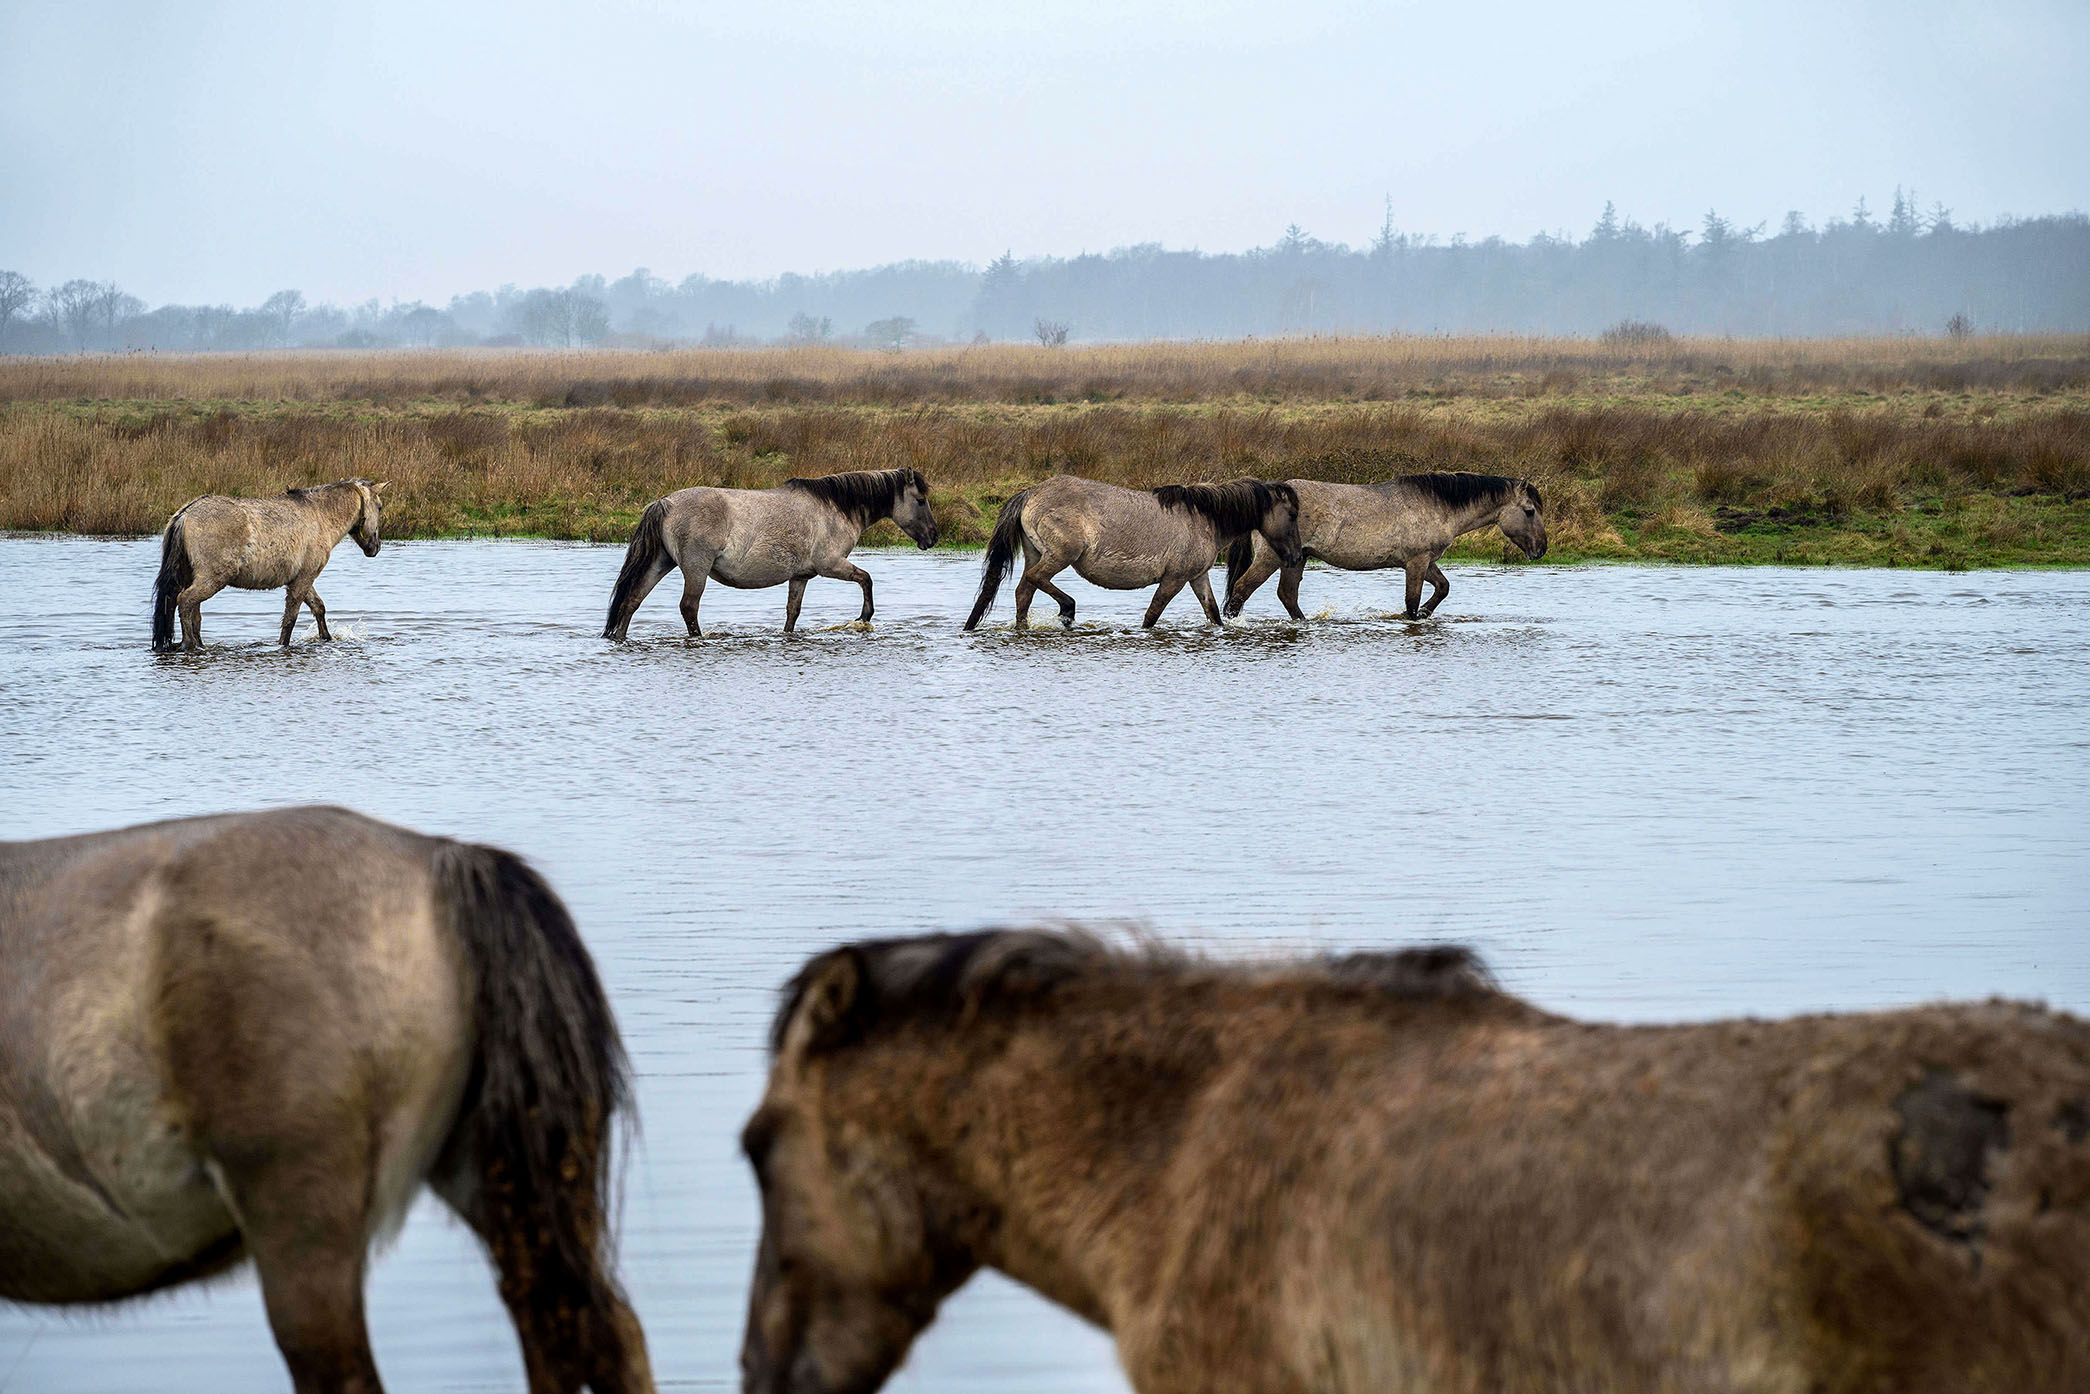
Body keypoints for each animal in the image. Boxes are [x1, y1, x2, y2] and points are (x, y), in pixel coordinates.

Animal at [151, 477, 387, 653]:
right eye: (380, 507)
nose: (375, 548)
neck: (320, 515)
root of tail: (186, 514)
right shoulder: (303, 579)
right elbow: (290, 619)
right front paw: (282, 646)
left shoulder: (302, 578)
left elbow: (319, 608)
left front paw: (327, 639)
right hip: (211, 580)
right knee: (185, 602)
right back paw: (188, 645)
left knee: (193, 612)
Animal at [602, 468, 938, 640]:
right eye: (920, 500)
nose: (933, 537)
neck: (835, 507)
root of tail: (665, 502)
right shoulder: (830, 565)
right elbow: (866, 578)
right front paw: (865, 617)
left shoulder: (801, 576)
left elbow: (792, 612)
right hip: (695, 569)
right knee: (688, 607)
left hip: (661, 563)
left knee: (631, 601)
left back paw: (619, 638)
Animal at [962, 476, 1304, 631]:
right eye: (1292, 515)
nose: (1296, 556)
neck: (1203, 518)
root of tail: (1030, 493)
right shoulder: (1174, 579)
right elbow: (1152, 614)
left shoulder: (1197, 577)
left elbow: (1213, 614)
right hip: (1061, 556)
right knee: (1036, 580)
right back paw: (1068, 611)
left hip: (1037, 553)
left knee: (1024, 592)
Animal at [1223, 472, 1546, 622]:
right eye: (1529, 511)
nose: (1541, 549)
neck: (1437, 505)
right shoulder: (1416, 562)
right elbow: (1411, 602)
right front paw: (1416, 617)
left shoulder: (1426, 561)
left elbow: (1443, 588)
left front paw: (1427, 613)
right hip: (1271, 558)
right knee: (1241, 590)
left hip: (1297, 557)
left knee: (1287, 595)